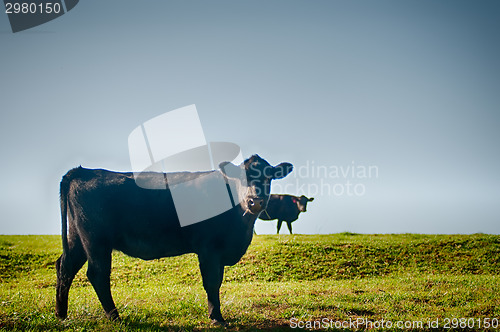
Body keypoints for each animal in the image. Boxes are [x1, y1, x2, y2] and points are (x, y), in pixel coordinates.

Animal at [55, 155, 292, 324]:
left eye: (269, 177)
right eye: (241, 178)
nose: (255, 201)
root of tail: (83, 171)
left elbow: (217, 282)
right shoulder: (209, 248)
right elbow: (212, 282)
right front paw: (216, 317)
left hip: (77, 239)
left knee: (64, 267)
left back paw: (61, 314)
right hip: (96, 241)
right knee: (97, 274)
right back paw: (115, 317)